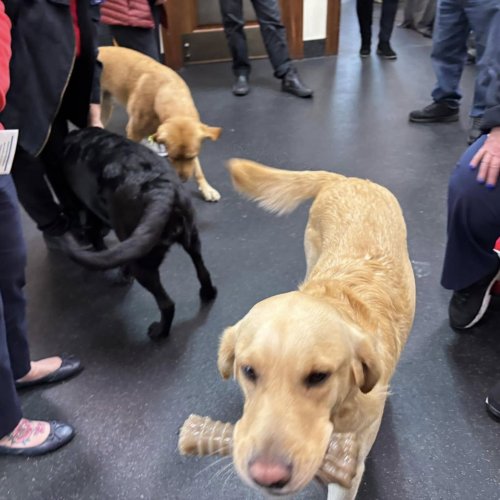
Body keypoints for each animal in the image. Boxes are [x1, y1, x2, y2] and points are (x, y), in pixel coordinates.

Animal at [61, 127, 217, 338]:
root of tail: (160, 189)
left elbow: (97, 240)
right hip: (192, 240)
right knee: (203, 272)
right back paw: (208, 293)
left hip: (143, 265)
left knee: (167, 304)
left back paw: (159, 332)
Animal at [98, 46, 223, 202]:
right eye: (172, 156)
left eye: (191, 157)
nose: (183, 180)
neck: (167, 90)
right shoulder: (133, 132)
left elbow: (198, 170)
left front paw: (206, 189)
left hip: (105, 108)